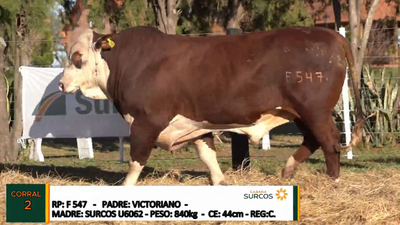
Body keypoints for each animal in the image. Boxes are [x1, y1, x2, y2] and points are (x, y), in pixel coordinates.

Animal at [60, 25, 366, 185]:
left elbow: (137, 160)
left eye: (77, 57)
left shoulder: (145, 123)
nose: (62, 84)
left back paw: (333, 180)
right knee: (313, 139)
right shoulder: (196, 123)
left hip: (315, 110)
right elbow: (207, 155)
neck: (130, 61)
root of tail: (327, 33)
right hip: (299, 112)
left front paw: (125, 186)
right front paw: (220, 180)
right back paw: (288, 170)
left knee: (330, 141)